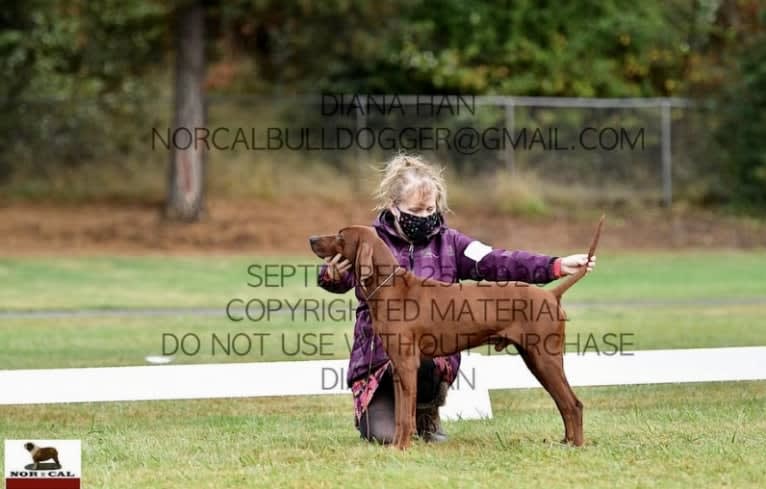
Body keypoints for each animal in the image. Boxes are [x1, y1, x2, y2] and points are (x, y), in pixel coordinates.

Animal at [308, 215, 604, 448]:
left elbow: (405, 415)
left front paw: (400, 448)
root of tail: (551, 295)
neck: (391, 288)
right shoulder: (398, 366)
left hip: (544, 357)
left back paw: (575, 446)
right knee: (563, 403)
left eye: (340, 236)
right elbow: (402, 412)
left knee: (573, 403)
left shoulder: (407, 363)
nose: (311, 238)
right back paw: (565, 442)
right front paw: (398, 445)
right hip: (535, 359)